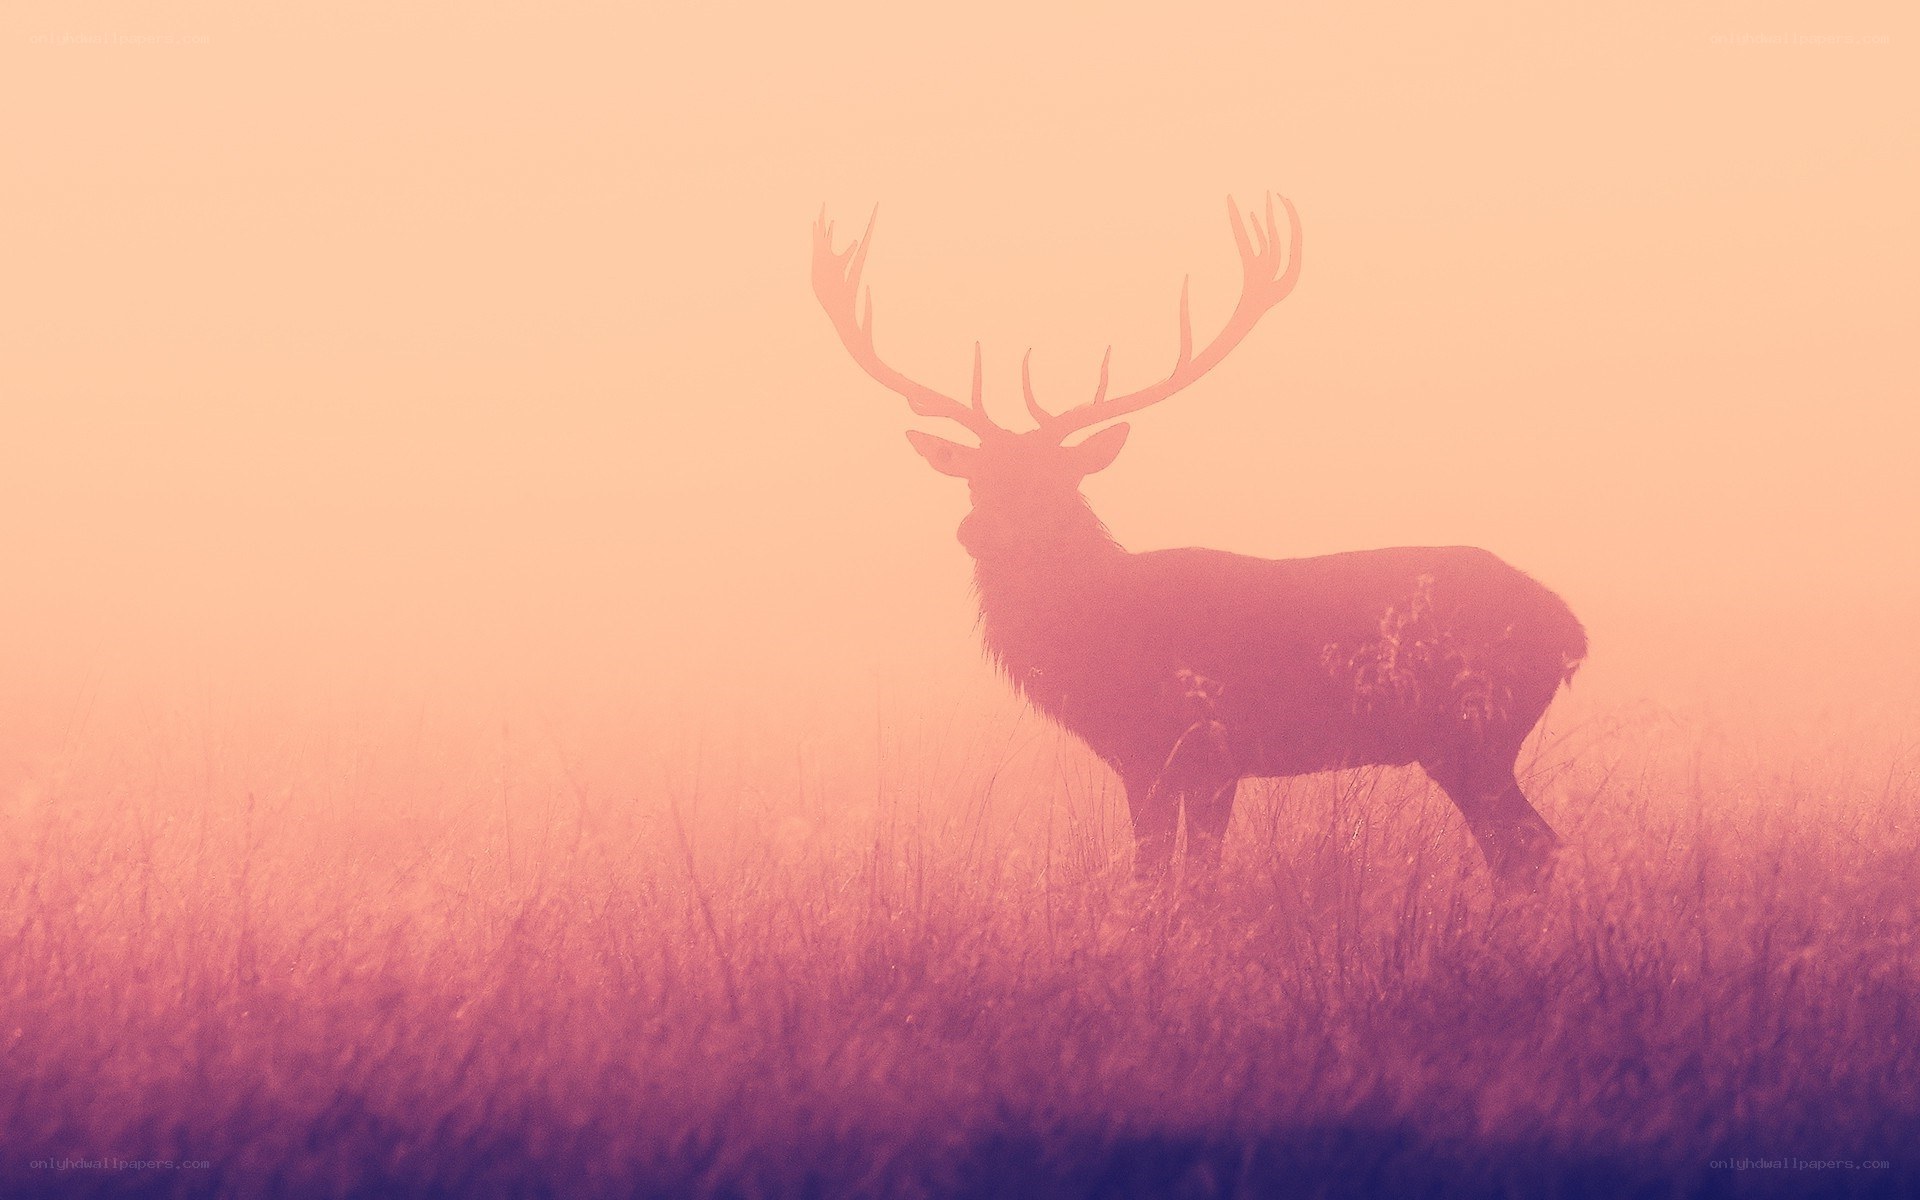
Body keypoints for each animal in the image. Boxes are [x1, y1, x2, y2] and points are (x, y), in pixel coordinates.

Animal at [810, 195, 1586, 888]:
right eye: (974, 479)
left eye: (1054, 481)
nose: (973, 532)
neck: (1096, 642)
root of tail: (1571, 630)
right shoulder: (1158, 759)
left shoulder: (1199, 747)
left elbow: (1177, 878)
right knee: (1524, 846)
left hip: (1474, 731)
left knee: (1531, 846)